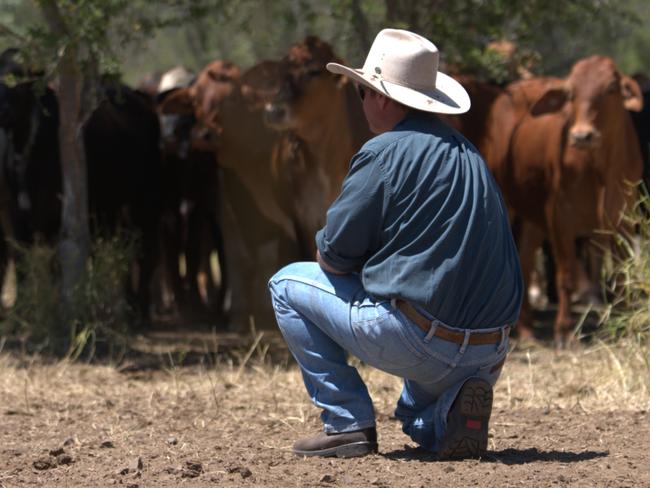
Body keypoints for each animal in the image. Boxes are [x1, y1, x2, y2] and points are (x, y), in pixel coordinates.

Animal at [488, 55, 640, 346]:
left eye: (611, 89)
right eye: (571, 94)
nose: (582, 136)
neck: (599, 169)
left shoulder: (623, 221)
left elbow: (622, 274)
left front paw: (625, 325)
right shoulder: (560, 218)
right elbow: (566, 276)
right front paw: (564, 332)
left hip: (534, 217)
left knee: (525, 259)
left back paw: (527, 328)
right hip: (510, 205)